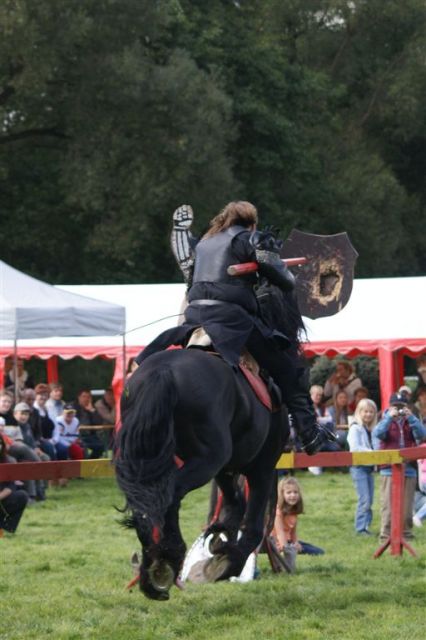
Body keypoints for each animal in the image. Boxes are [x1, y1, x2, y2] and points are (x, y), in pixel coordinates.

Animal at [115, 284, 302, 600]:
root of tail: (163, 373)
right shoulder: (262, 467)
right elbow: (252, 524)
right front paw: (229, 561)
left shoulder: (226, 467)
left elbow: (234, 504)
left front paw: (219, 539)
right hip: (208, 460)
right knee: (168, 496)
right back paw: (168, 557)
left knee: (150, 503)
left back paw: (155, 565)